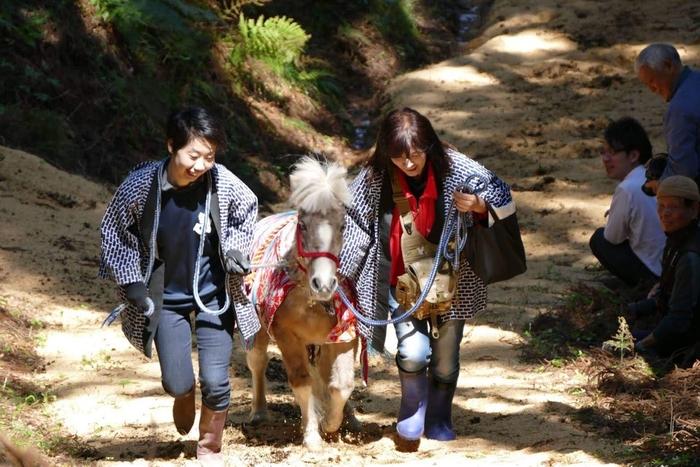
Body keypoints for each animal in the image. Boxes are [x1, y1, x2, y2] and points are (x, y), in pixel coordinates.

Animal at [246, 158, 358, 454]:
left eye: (342, 226)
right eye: (304, 225)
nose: (324, 284)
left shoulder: (344, 335)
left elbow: (341, 384)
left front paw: (332, 422)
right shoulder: (287, 337)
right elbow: (302, 383)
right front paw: (313, 435)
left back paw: (350, 419)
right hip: (256, 333)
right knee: (257, 362)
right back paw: (259, 412)